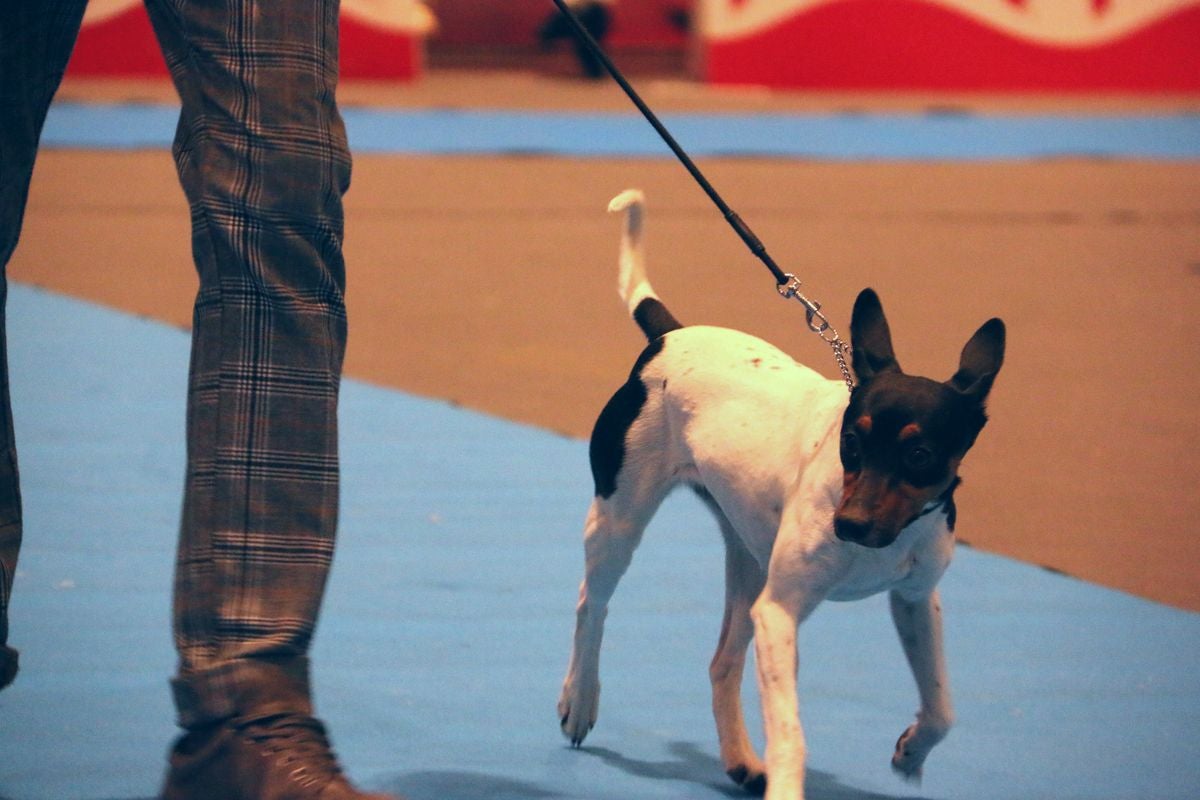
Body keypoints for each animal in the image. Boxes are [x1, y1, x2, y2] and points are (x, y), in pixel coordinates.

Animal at [556, 189, 1008, 800]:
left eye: (919, 455)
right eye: (851, 442)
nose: (849, 526)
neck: (884, 539)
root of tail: (668, 337)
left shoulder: (915, 599)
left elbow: (941, 709)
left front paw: (912, 751)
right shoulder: (779, 614)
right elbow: (791, 733)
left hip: (749, 557)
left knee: (722, 661)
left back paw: (741, 759)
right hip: (619, 523)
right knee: (592, 604)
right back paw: (579, 700)